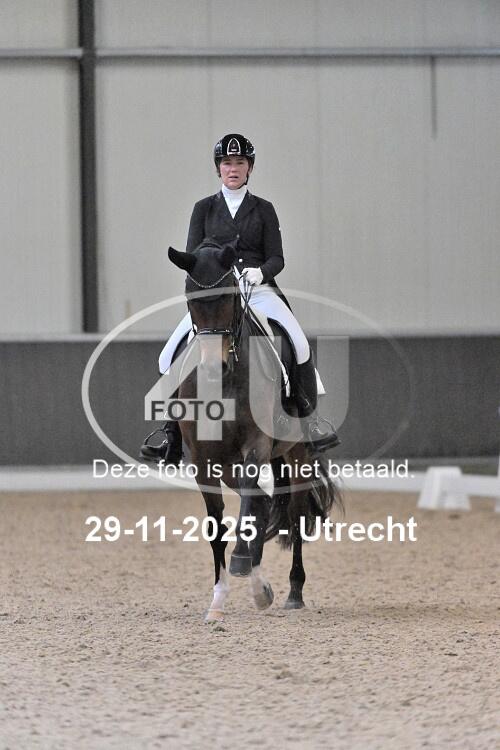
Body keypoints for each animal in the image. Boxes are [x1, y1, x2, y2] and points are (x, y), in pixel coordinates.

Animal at [167, 241, 343, 622]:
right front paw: (218, 600)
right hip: (232, 463)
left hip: (295, 453)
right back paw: (259, 583)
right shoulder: (203, 460)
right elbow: (216, 527)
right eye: (190, 299)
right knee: (263, 502)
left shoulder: (256, 447)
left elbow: (250, 506)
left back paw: (291, 591)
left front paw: (241, 562)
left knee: (292, 511)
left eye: (229, 296)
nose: (212, 366)